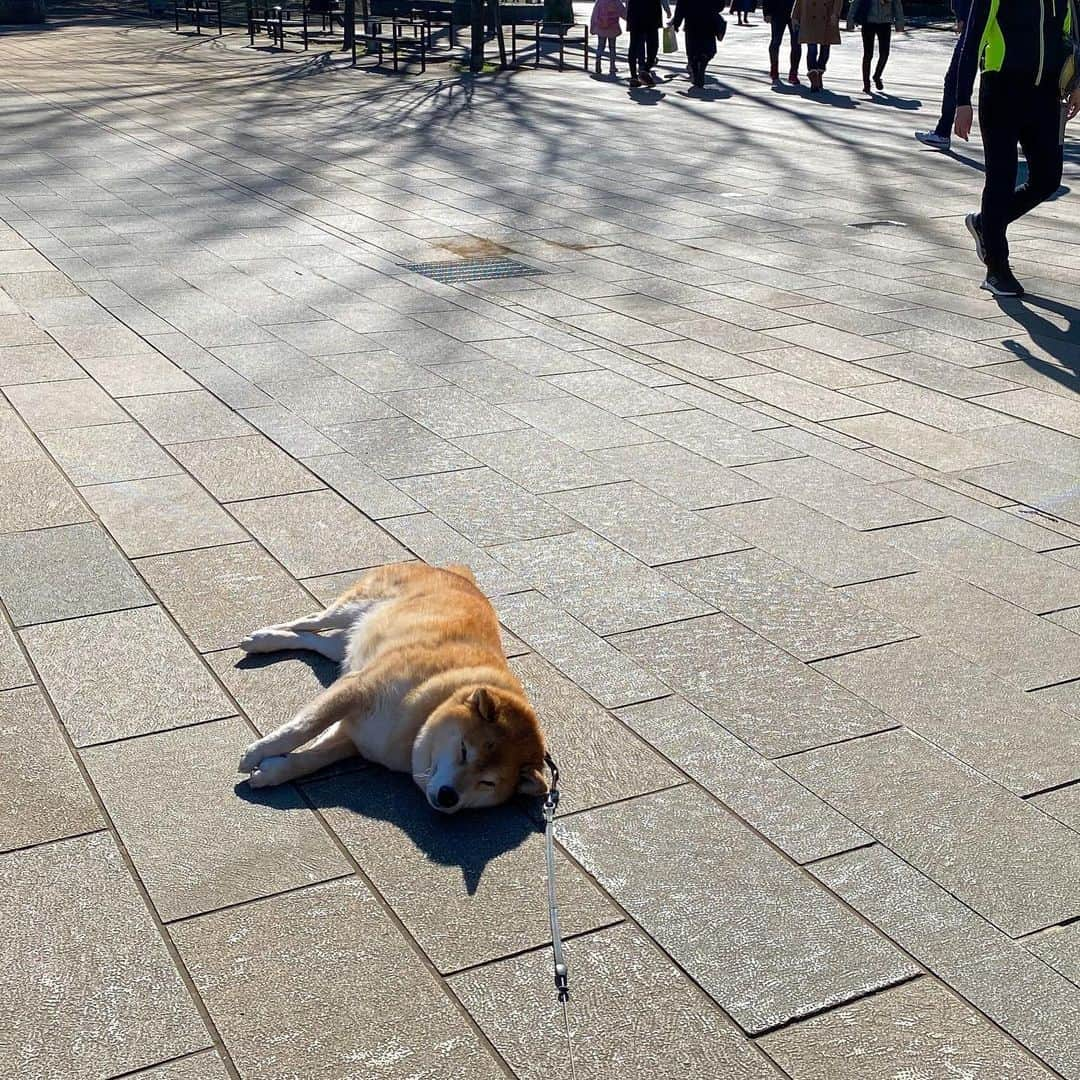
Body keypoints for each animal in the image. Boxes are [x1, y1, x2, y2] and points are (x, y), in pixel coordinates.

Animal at [241, 565, 552, 812]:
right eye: (464, 750)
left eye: (488, 783)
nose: (449, 796)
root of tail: (458, 573)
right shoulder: (358, 687)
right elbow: (302, 728)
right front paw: (256, 753)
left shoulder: (356, 737)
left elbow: (313, 758)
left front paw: (273, 771)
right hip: (352, 608)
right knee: (309, 621)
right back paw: (261, 637)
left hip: (342, 645)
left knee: (313, 640)